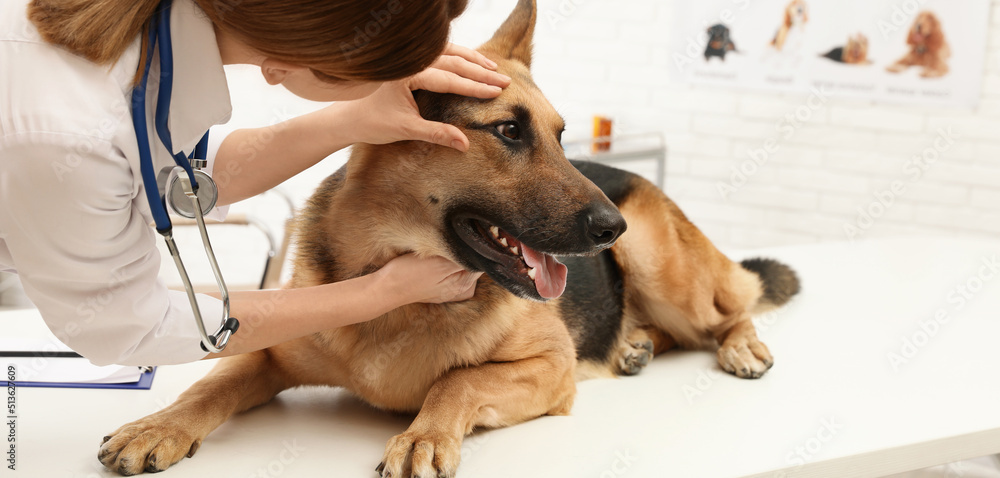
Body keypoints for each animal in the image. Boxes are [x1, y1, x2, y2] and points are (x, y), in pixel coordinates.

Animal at [95, 1, 796, 476]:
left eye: (560, 136)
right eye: (509, 131)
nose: (608, 228)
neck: (401, 298)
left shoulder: (551, 366)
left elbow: (458, 381)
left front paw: (424, 436)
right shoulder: (265, 351)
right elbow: (209, 382)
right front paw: (157, 425)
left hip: (659, 263)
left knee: (730, 309)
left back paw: (737, 346)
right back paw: (633, 346)